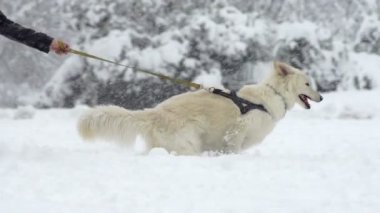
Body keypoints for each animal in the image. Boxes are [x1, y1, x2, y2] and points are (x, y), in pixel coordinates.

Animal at [78, 61, 324, 155]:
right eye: (307, 84)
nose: (321, 98)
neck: (272, 95)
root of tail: (153, 113)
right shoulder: (237, 130)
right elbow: (234, 147)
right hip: (188, 141)